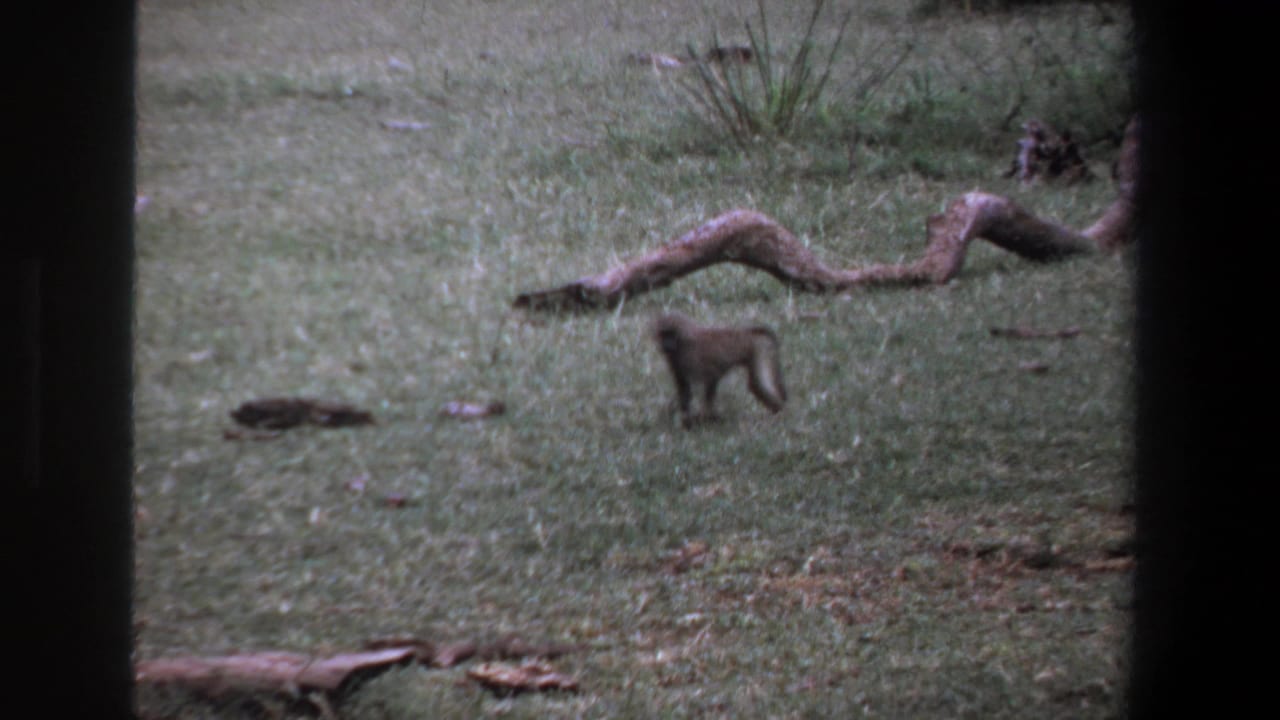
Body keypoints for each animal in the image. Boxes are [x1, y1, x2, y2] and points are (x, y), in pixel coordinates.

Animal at [653, 312, 786, 427]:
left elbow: (710, 379)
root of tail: (745, 332)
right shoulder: (677, 362)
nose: (666, 343)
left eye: (671, 334)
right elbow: (685, 389)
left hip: (756, 348)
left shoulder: (689, 357)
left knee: (757, 384)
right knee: (755, 385)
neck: (683, 340)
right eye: (664, 333)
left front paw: (702, 419)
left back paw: (779, 413)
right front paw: (689, 419)